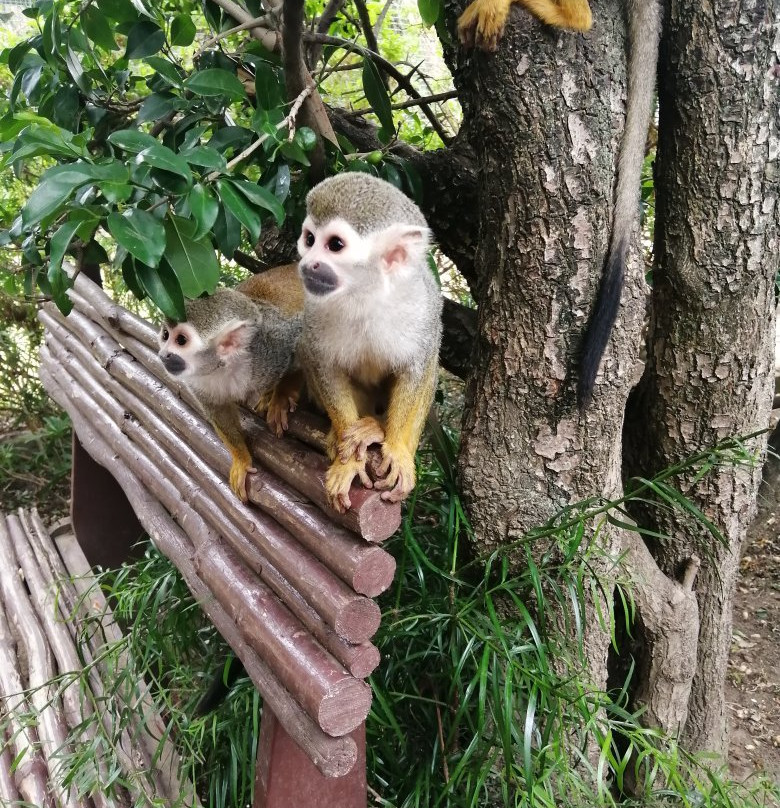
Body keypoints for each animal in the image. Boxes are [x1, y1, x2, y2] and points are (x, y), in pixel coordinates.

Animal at [157, 288, 302, 502]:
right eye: (165, 334)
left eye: (181, 340)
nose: (163, 355)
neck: (226, 365)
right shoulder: (198, 380)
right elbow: (219, 412)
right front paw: (241, 459)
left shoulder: (272, 348)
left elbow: (304, 346)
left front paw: (282, 395)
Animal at [296, 173, 442, 513]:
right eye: (309, 239)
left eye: (335, 245)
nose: (308, 263)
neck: (365, 294)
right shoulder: (314, 306)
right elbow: (322, 363)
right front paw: (348, 460)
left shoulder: (421, 307)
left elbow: (419, 366)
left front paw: (398, 449)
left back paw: (377, 427)